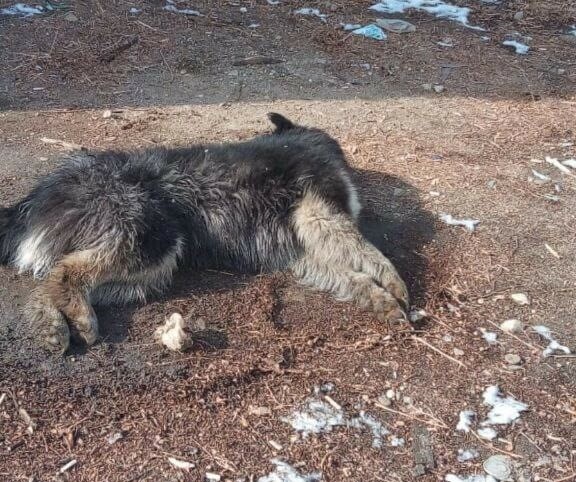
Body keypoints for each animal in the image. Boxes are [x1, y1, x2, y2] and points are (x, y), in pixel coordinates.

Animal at [0, 114, 410, 352]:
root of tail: (34, 197)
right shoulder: (318, 214)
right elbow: (368, 251)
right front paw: (394, 283)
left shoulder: (301, 252)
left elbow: (351, 277)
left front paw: (379, 299)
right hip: (151, 237)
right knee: (65, 273)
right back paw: (73, 321)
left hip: (148, 268)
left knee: (50, 281)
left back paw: (55, 326)